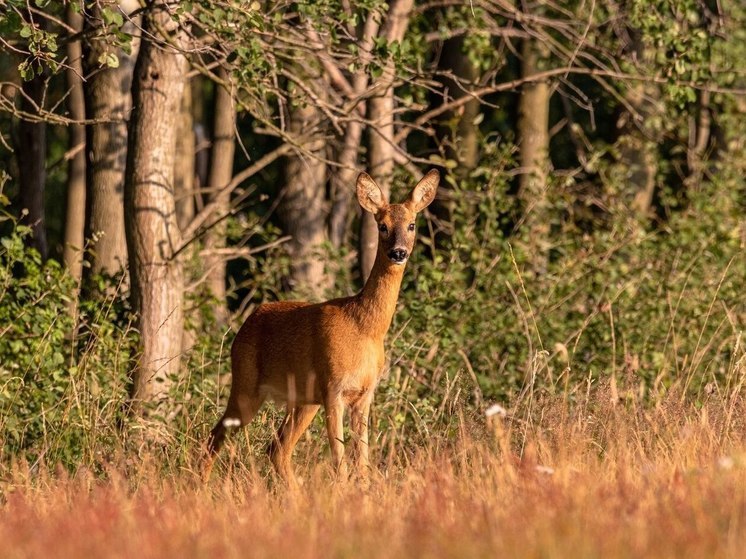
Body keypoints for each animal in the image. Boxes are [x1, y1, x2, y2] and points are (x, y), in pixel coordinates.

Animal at [201, 168, 438, 484]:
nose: (398, 252)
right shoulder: (332, 388)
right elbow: (341, 463)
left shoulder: (364, 395)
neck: (365, 327)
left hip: (302, 399)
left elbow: (362, 463)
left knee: (276, 449)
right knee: (214, 439)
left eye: (412, 225)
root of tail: (246, 324)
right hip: (246, 385)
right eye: (383, 226)